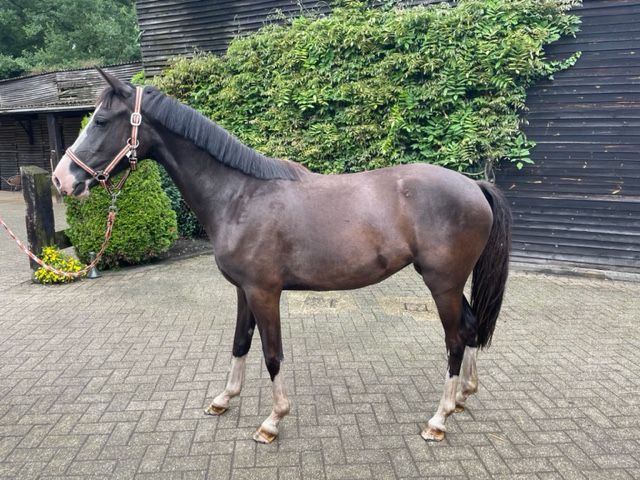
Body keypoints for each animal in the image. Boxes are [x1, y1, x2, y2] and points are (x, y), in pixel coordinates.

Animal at [53, 69, 511, 444]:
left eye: (100, 121)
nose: (62, 179)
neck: (240, 196)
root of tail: (474, 186)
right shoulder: (243, 291)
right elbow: (240, 342)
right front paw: (224, 398)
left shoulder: (264, 292)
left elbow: (272, 354)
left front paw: (272, 421)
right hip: (450, 283)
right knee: (471, 327)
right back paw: (463, 397)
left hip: (442, 284)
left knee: (455, 339)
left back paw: (439, 419)